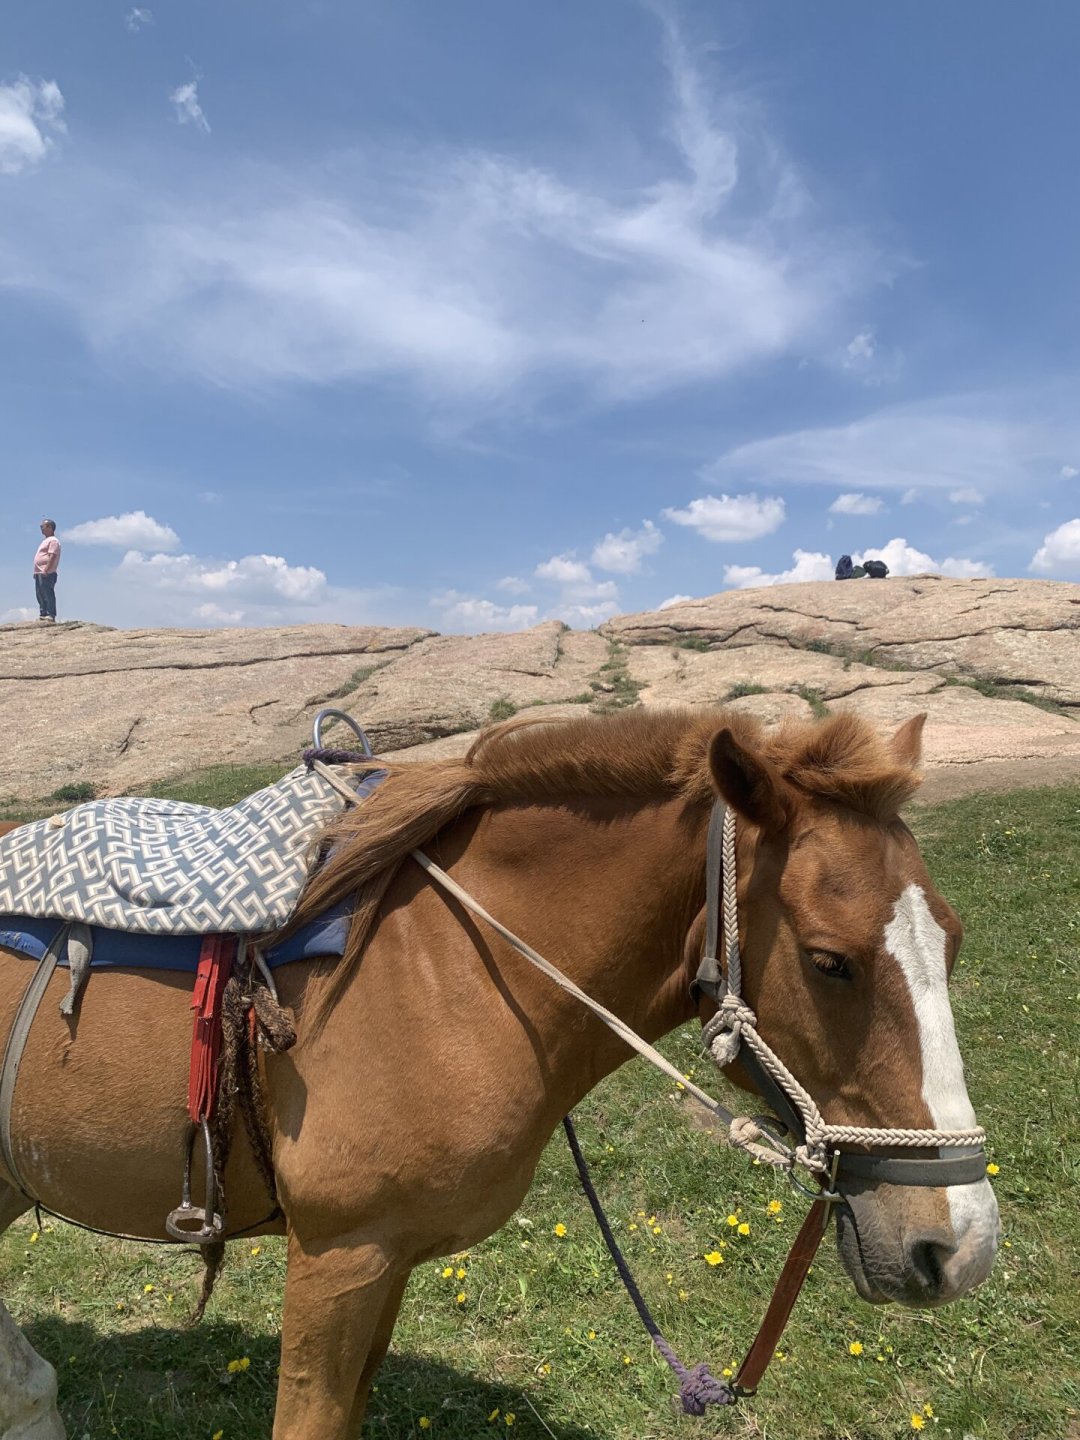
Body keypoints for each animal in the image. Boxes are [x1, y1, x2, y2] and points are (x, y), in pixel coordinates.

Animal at [0, 707, 999, 1439]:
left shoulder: (384, 1261)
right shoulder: (339, 1255)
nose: (960, 1247)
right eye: (831, 961)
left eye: (952, 940)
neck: (448, 962)